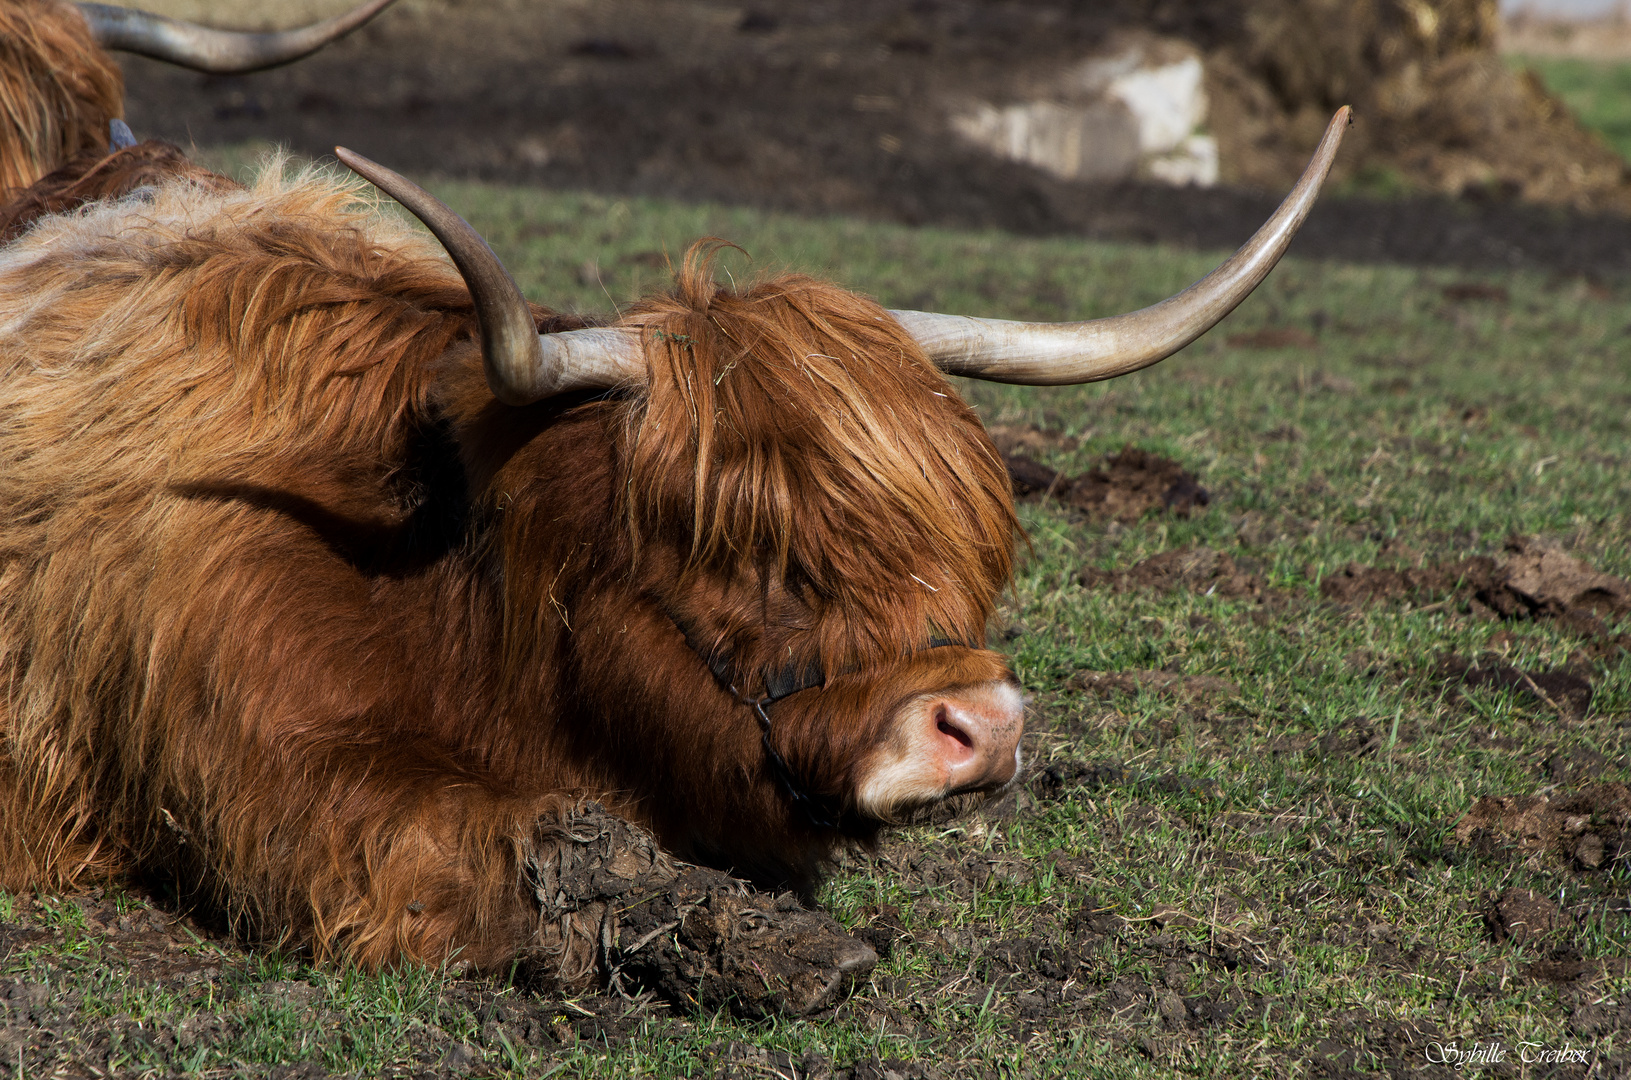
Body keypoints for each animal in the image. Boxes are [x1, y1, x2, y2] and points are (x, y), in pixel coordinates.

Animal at [0, 110, 1350, 998]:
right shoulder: (266, 767)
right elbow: (528, 848)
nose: (978, 727)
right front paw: (768, 950)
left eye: (961, 541)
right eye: (734, 541)